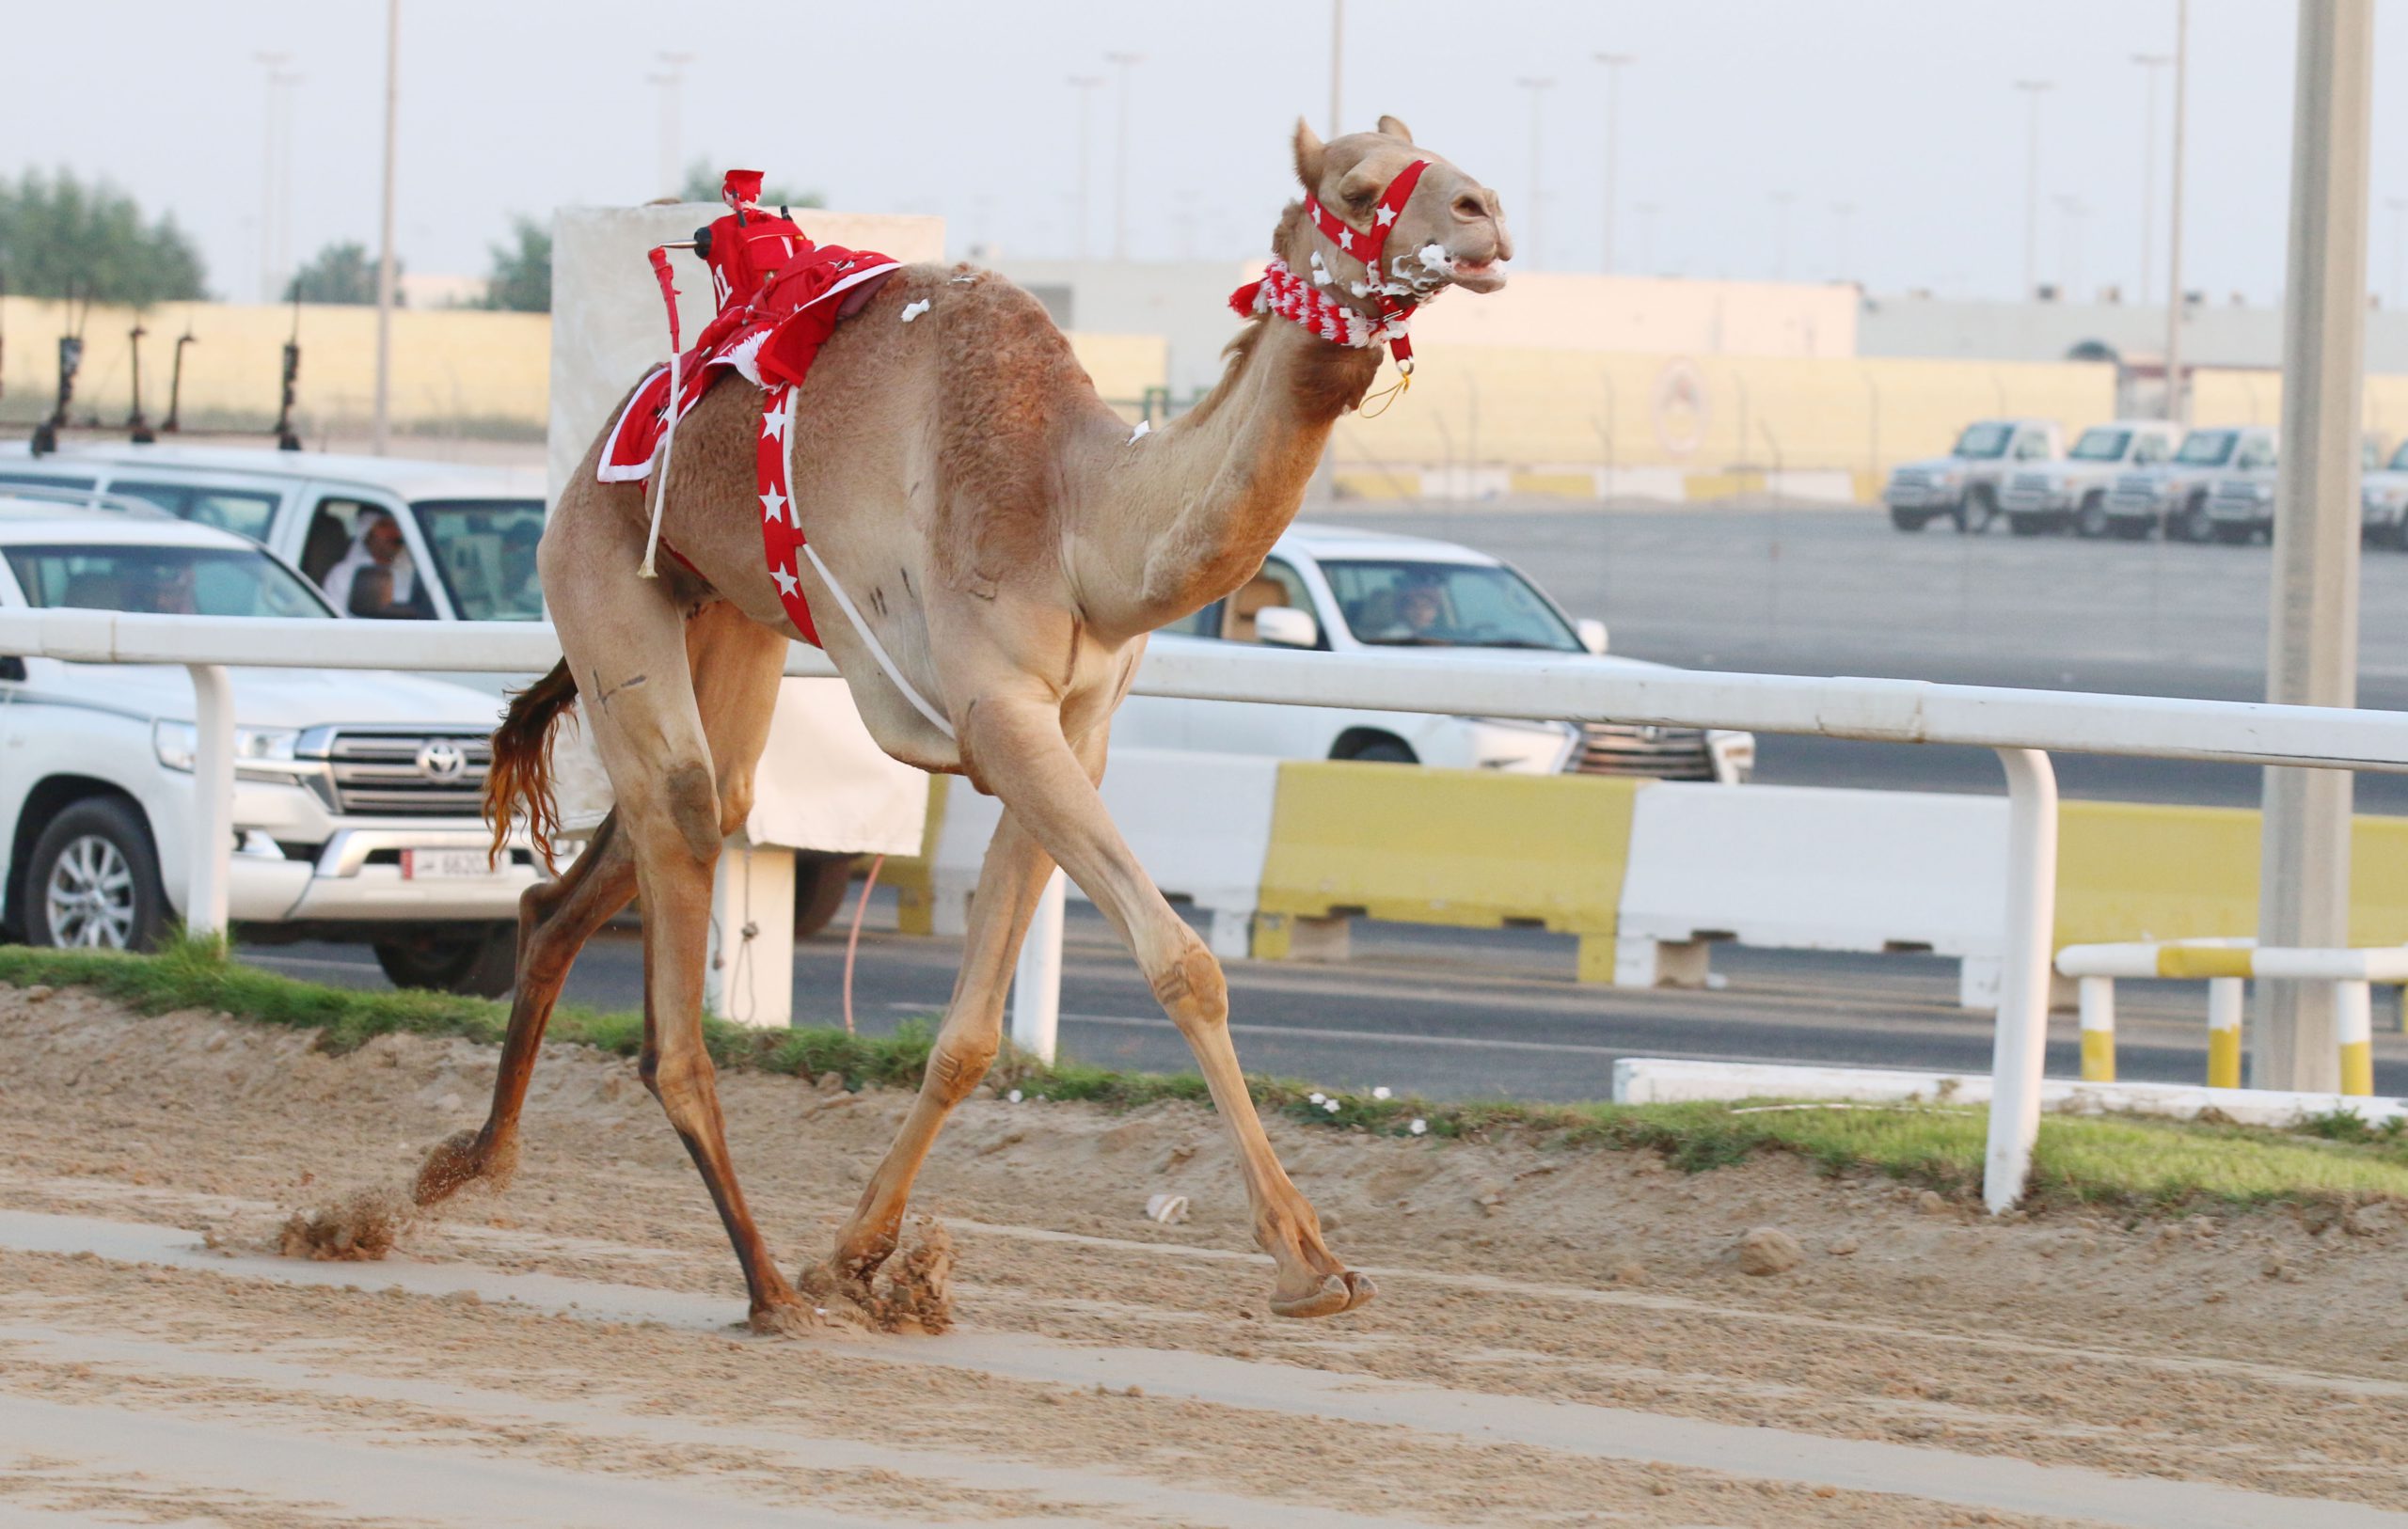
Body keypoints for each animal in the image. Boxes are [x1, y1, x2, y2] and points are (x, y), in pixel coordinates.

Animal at [409, 119, 1502, 1338]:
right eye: (1358, 188)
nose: (1484, 217)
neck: (1078, 519)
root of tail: (603, 441)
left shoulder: (1072, 730)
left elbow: (975, 1034)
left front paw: (862, 1256)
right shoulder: (999, 713)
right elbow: (1181, 963)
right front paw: (1309, 1263)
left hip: (724, 613)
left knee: (630, 851)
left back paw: (459, 1171)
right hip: (598, 568)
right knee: (679, 891)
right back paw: (761, 1287)